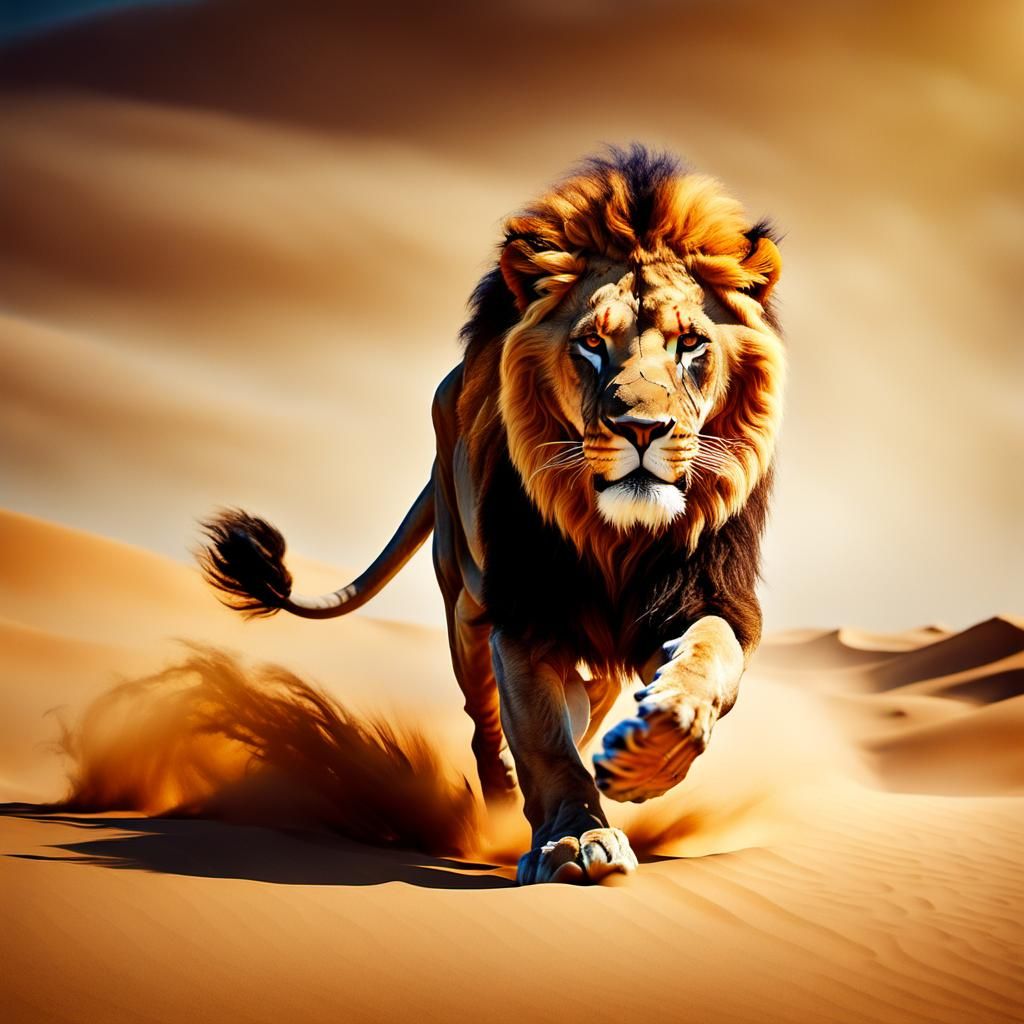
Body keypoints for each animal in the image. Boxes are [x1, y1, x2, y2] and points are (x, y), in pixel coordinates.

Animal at [198, 145, 784, 885]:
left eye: (690, 345)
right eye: (592, 344)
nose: (642, 429)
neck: (614, 538)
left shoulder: (702, 596)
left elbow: (709, 658)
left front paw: (647, 758)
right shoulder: (523, 612)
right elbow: (542, 741)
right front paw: (575, 838)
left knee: (589, 701)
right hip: (466, 606)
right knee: (488, 724)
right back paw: (504, 806)